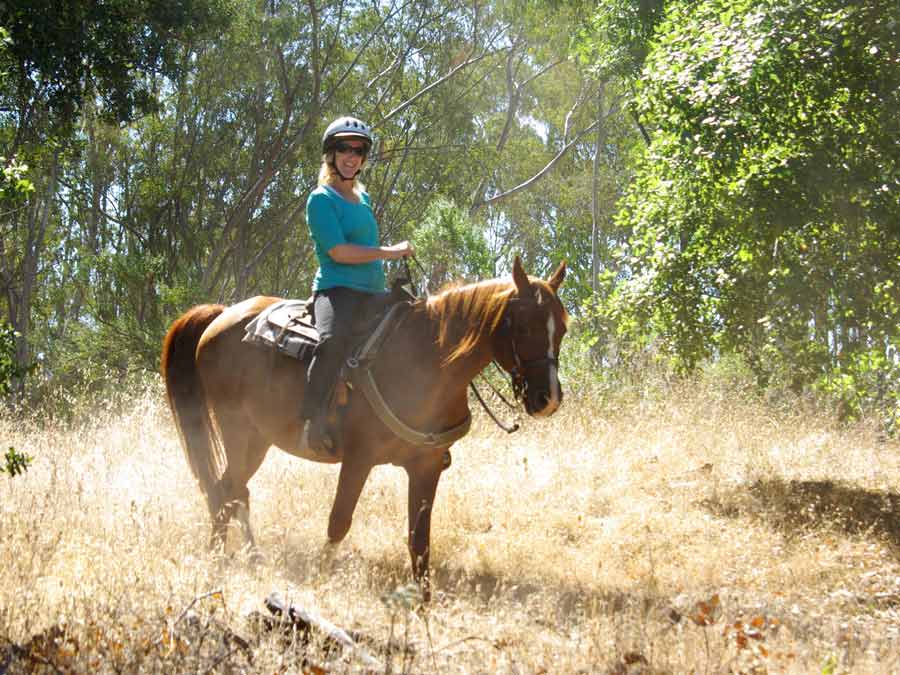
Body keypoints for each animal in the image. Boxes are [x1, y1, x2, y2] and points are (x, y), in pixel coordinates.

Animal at [162, 256, 568, 600]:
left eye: (562, 328)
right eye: (524, 325)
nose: (547, 398)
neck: (428, 363)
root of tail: (222, 314)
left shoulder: (426, 467)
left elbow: (420, 541)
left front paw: (423, 605)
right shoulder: (359, 459)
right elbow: (338, 523)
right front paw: (320, 580)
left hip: (258, 438)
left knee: (234, 492)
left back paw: (249, 557)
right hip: (239, 431)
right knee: (225, 491)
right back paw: (218, 561)